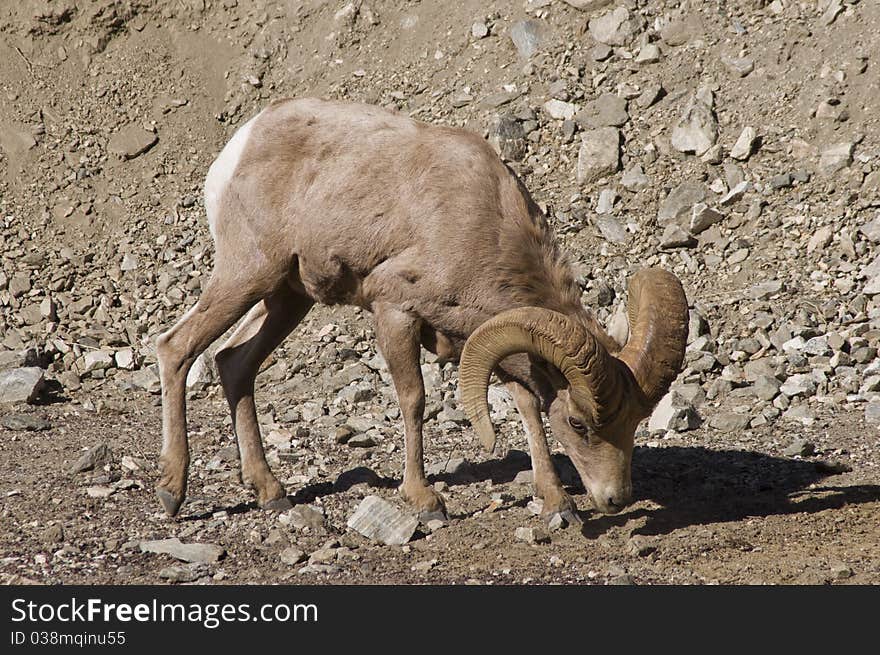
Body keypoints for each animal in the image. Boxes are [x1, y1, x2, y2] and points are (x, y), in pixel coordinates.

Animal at [160, 97, 696, 520]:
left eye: (634, 423)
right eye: (580, 425)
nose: (616, 499)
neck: (481, 226)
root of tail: (237, 148)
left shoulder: (489, 338)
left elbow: (527, 407)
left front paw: (557, 505)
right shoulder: (395, 311)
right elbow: (414, 399)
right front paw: (425, 502)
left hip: (288, 297)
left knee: (234, 362)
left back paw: (271, 493)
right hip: (247, 274)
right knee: (175, 348)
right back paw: (172, 493)